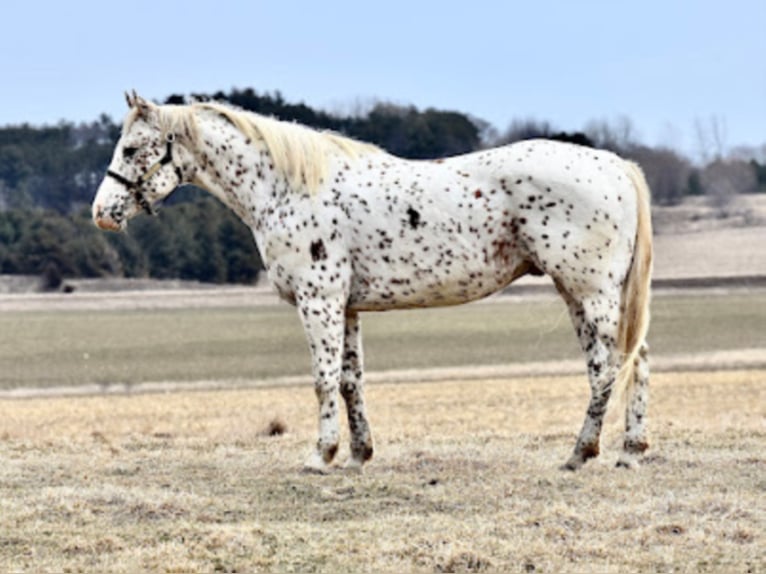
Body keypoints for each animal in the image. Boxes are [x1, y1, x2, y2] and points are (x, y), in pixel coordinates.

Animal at [90, 93, 656, 472]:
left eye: (134, 148)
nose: (102, 214)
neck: (289, 187)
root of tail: (615, 166)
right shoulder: (347, 308)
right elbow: (349, 381)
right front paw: (359, 455)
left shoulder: (318, 302)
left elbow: (322, 379)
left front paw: (320, 456)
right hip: (582, 296)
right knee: (628, 363)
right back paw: (627, 451)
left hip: (591, 294)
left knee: (611, 367)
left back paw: (583, 452)